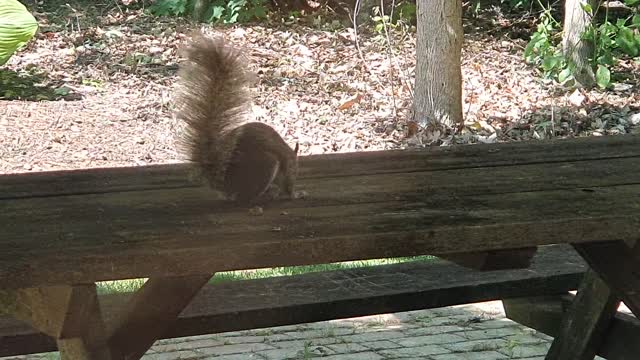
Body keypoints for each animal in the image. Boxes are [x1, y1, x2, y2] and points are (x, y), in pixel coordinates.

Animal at [176, 34, 298, 204]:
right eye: (295, 172)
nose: (291, 189)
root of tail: (225, 184)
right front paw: (294, 193)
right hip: (266, 166)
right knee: (246, 198)